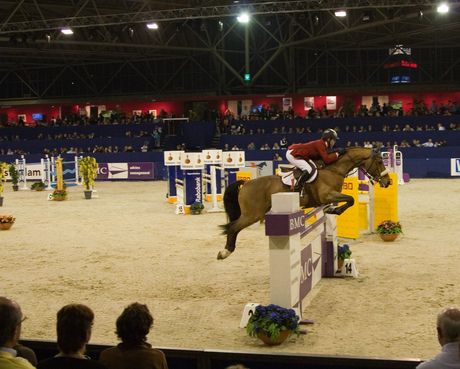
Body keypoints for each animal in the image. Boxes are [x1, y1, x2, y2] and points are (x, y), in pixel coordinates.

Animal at [217, 144, 390, 258]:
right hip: (252, 215)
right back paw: (225, 252)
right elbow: (351, 199)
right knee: (232, 227)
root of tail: (245, 184)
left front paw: (330, 210)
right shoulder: (327, 195)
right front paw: (333, 210)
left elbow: (350, 200)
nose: (388, 182)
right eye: (379, 162)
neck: (333, 169)